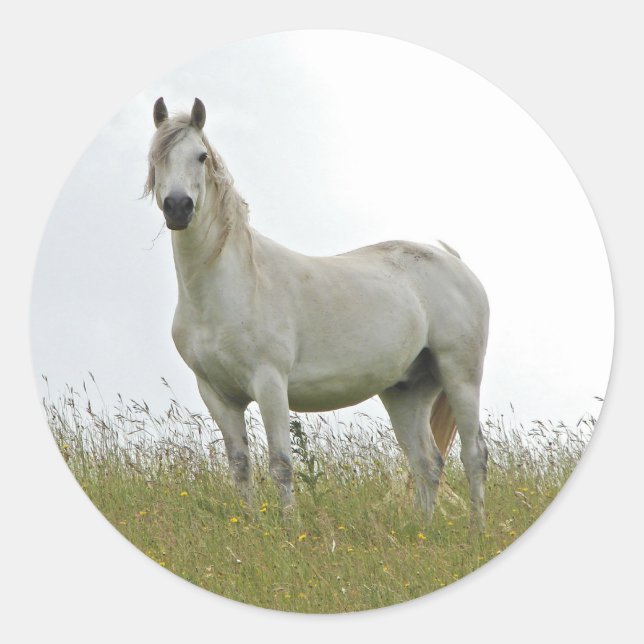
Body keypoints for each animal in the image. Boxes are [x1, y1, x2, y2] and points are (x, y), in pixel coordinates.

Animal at [145, 97, 490, 529]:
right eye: (155, 157)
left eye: (201, 156)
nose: (178, 207)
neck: (230, 286)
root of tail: (455, 263)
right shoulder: (216, 394)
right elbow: (240, 465)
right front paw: (250, 527)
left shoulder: (270, 384)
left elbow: (280, 464)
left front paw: (289, 530)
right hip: (407, 392)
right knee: (427, 462)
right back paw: (423, 530)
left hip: (461, 376)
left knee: (474, 456)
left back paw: (476, 530)